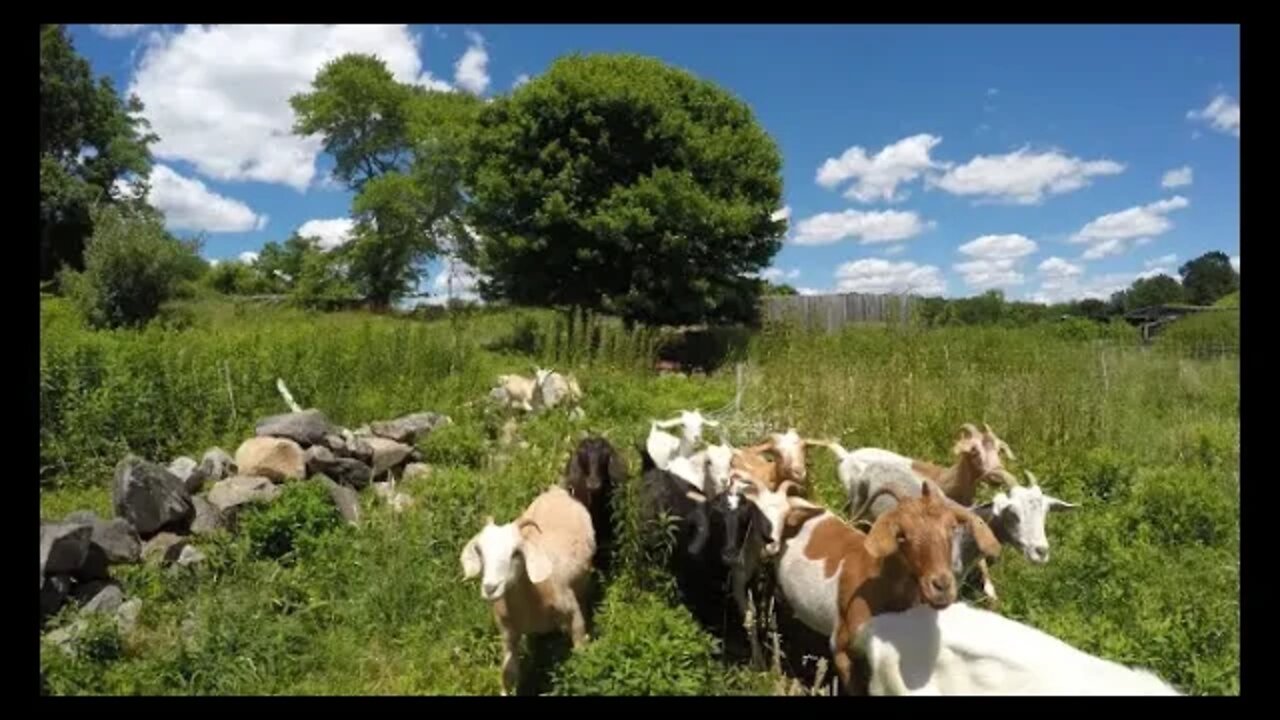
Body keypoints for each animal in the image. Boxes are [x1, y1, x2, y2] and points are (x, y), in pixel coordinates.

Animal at [463, 484, 596, 691]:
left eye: (517, 552)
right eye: (479, 551)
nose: (490, 588)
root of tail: (556, 490)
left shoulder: (572, 613)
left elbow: (581, 650)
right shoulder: (508, 632)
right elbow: (508, 673)